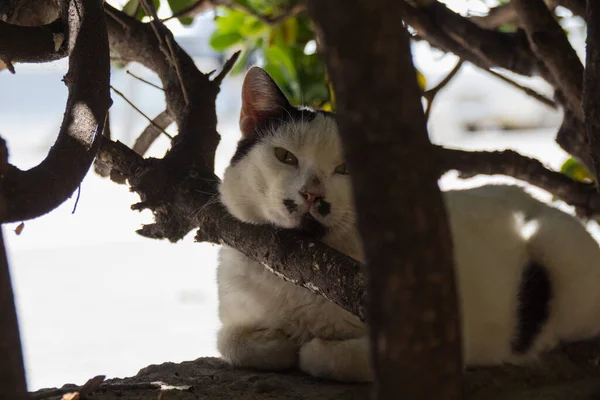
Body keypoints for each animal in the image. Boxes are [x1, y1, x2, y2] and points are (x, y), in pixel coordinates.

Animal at [217, 65, 600, 382]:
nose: (311, 193)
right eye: (285, 157)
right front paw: (277, 342)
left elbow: (327, 357)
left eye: (346, 169)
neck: (304, 265)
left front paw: (308, 346)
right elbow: (229, 342)